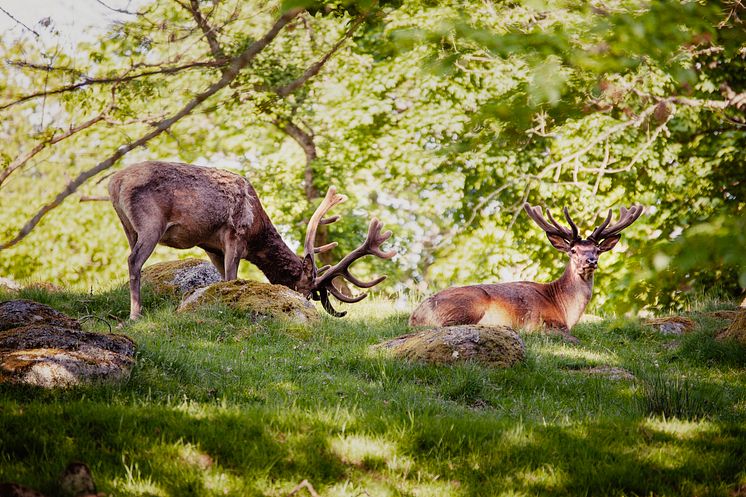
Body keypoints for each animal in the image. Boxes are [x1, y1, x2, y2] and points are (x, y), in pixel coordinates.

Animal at [109, 161, 396, 320]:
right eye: (305, 288)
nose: (306, 305)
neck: (257, 233)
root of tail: (114, 182)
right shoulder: (236, 234)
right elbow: (232, 276)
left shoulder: (212, 246)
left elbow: (222, 279)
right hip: (151, 223)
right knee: (134, 261)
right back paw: (135, 314)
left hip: (128, 226)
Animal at [404, 202, 644, 340]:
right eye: (573, 250)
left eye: (597, 250)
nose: (591, 260)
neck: (564, 308)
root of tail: (416, 315)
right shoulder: (546, 321)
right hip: (469, 304)